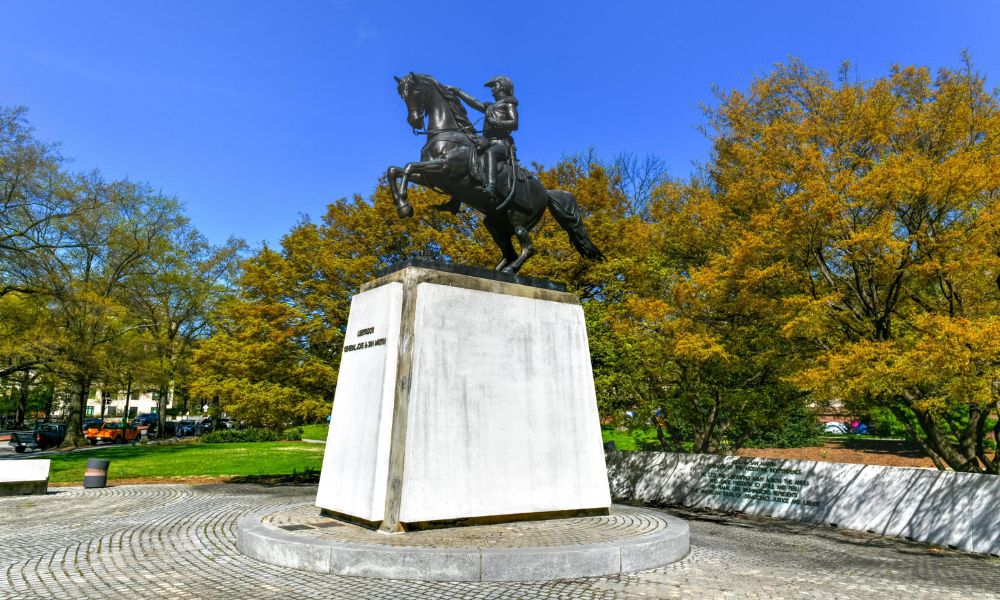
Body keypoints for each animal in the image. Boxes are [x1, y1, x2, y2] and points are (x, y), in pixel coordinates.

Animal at [384, 72, 600, 274]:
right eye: (401, 94)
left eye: (415, 92)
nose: (414, 121)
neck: (446, 132)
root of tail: (546, 192)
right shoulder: (431, 177)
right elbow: (395, 170)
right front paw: (401, 204)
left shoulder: (444, 169)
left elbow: (408, 167)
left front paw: (405, 207)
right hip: (495, 223)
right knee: (509, 251)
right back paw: (495, 270)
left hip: (519, 220)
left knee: (528, 248)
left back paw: (510, 269)